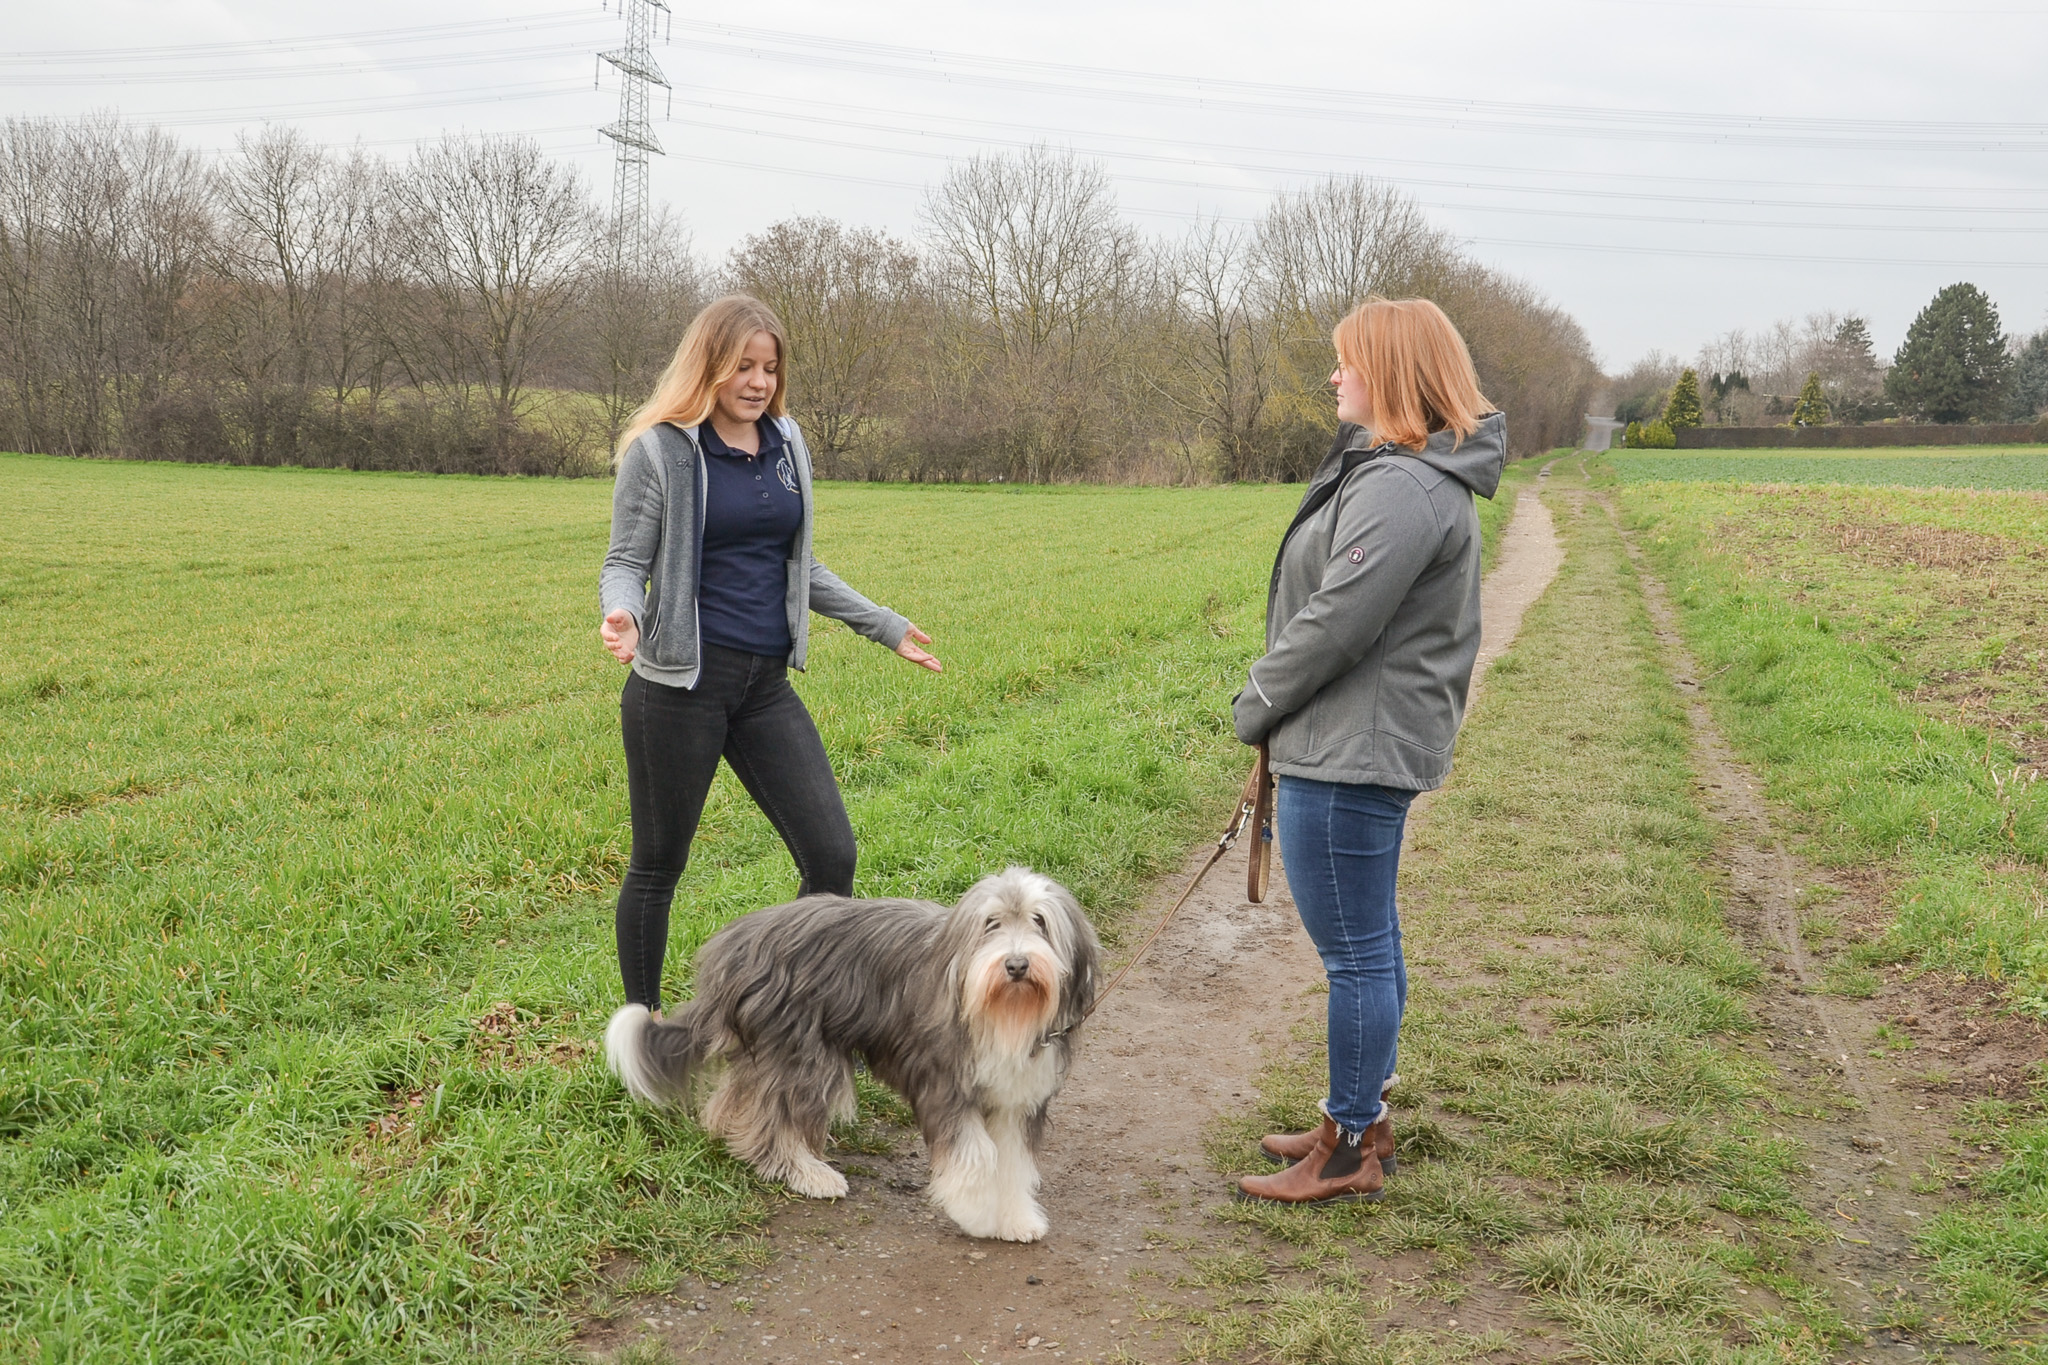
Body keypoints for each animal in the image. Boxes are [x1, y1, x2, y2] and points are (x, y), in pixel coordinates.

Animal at [598, 871, 1097, 1244]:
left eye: (1040, 921)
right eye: (991, 923)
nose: (1016, 965)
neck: (1002, 1011)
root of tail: (735, 946)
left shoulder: (1017, 1097)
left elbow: (1012, 1161)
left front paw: (1015, 1219)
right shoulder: (944, 1083)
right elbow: (973, 1155)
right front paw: (975, 1212)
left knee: (739, 1100)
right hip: (803, 1050)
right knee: (777, 1116)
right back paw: (808, 1174)